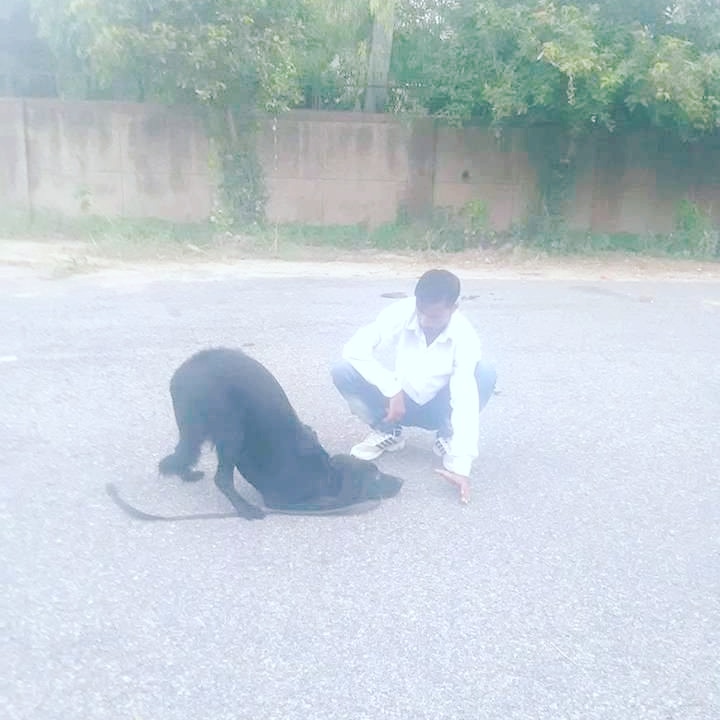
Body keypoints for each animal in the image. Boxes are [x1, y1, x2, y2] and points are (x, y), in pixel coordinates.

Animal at [152, 348, 402, 520]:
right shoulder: (281, 501)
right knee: (221, 478)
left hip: (193, 429)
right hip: (230, 430)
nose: (402, 481)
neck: (327, 474)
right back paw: (245, 509)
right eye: (376, 476)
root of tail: (185, 372)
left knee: (183, 451)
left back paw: (186, 474)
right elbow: (325, 502)